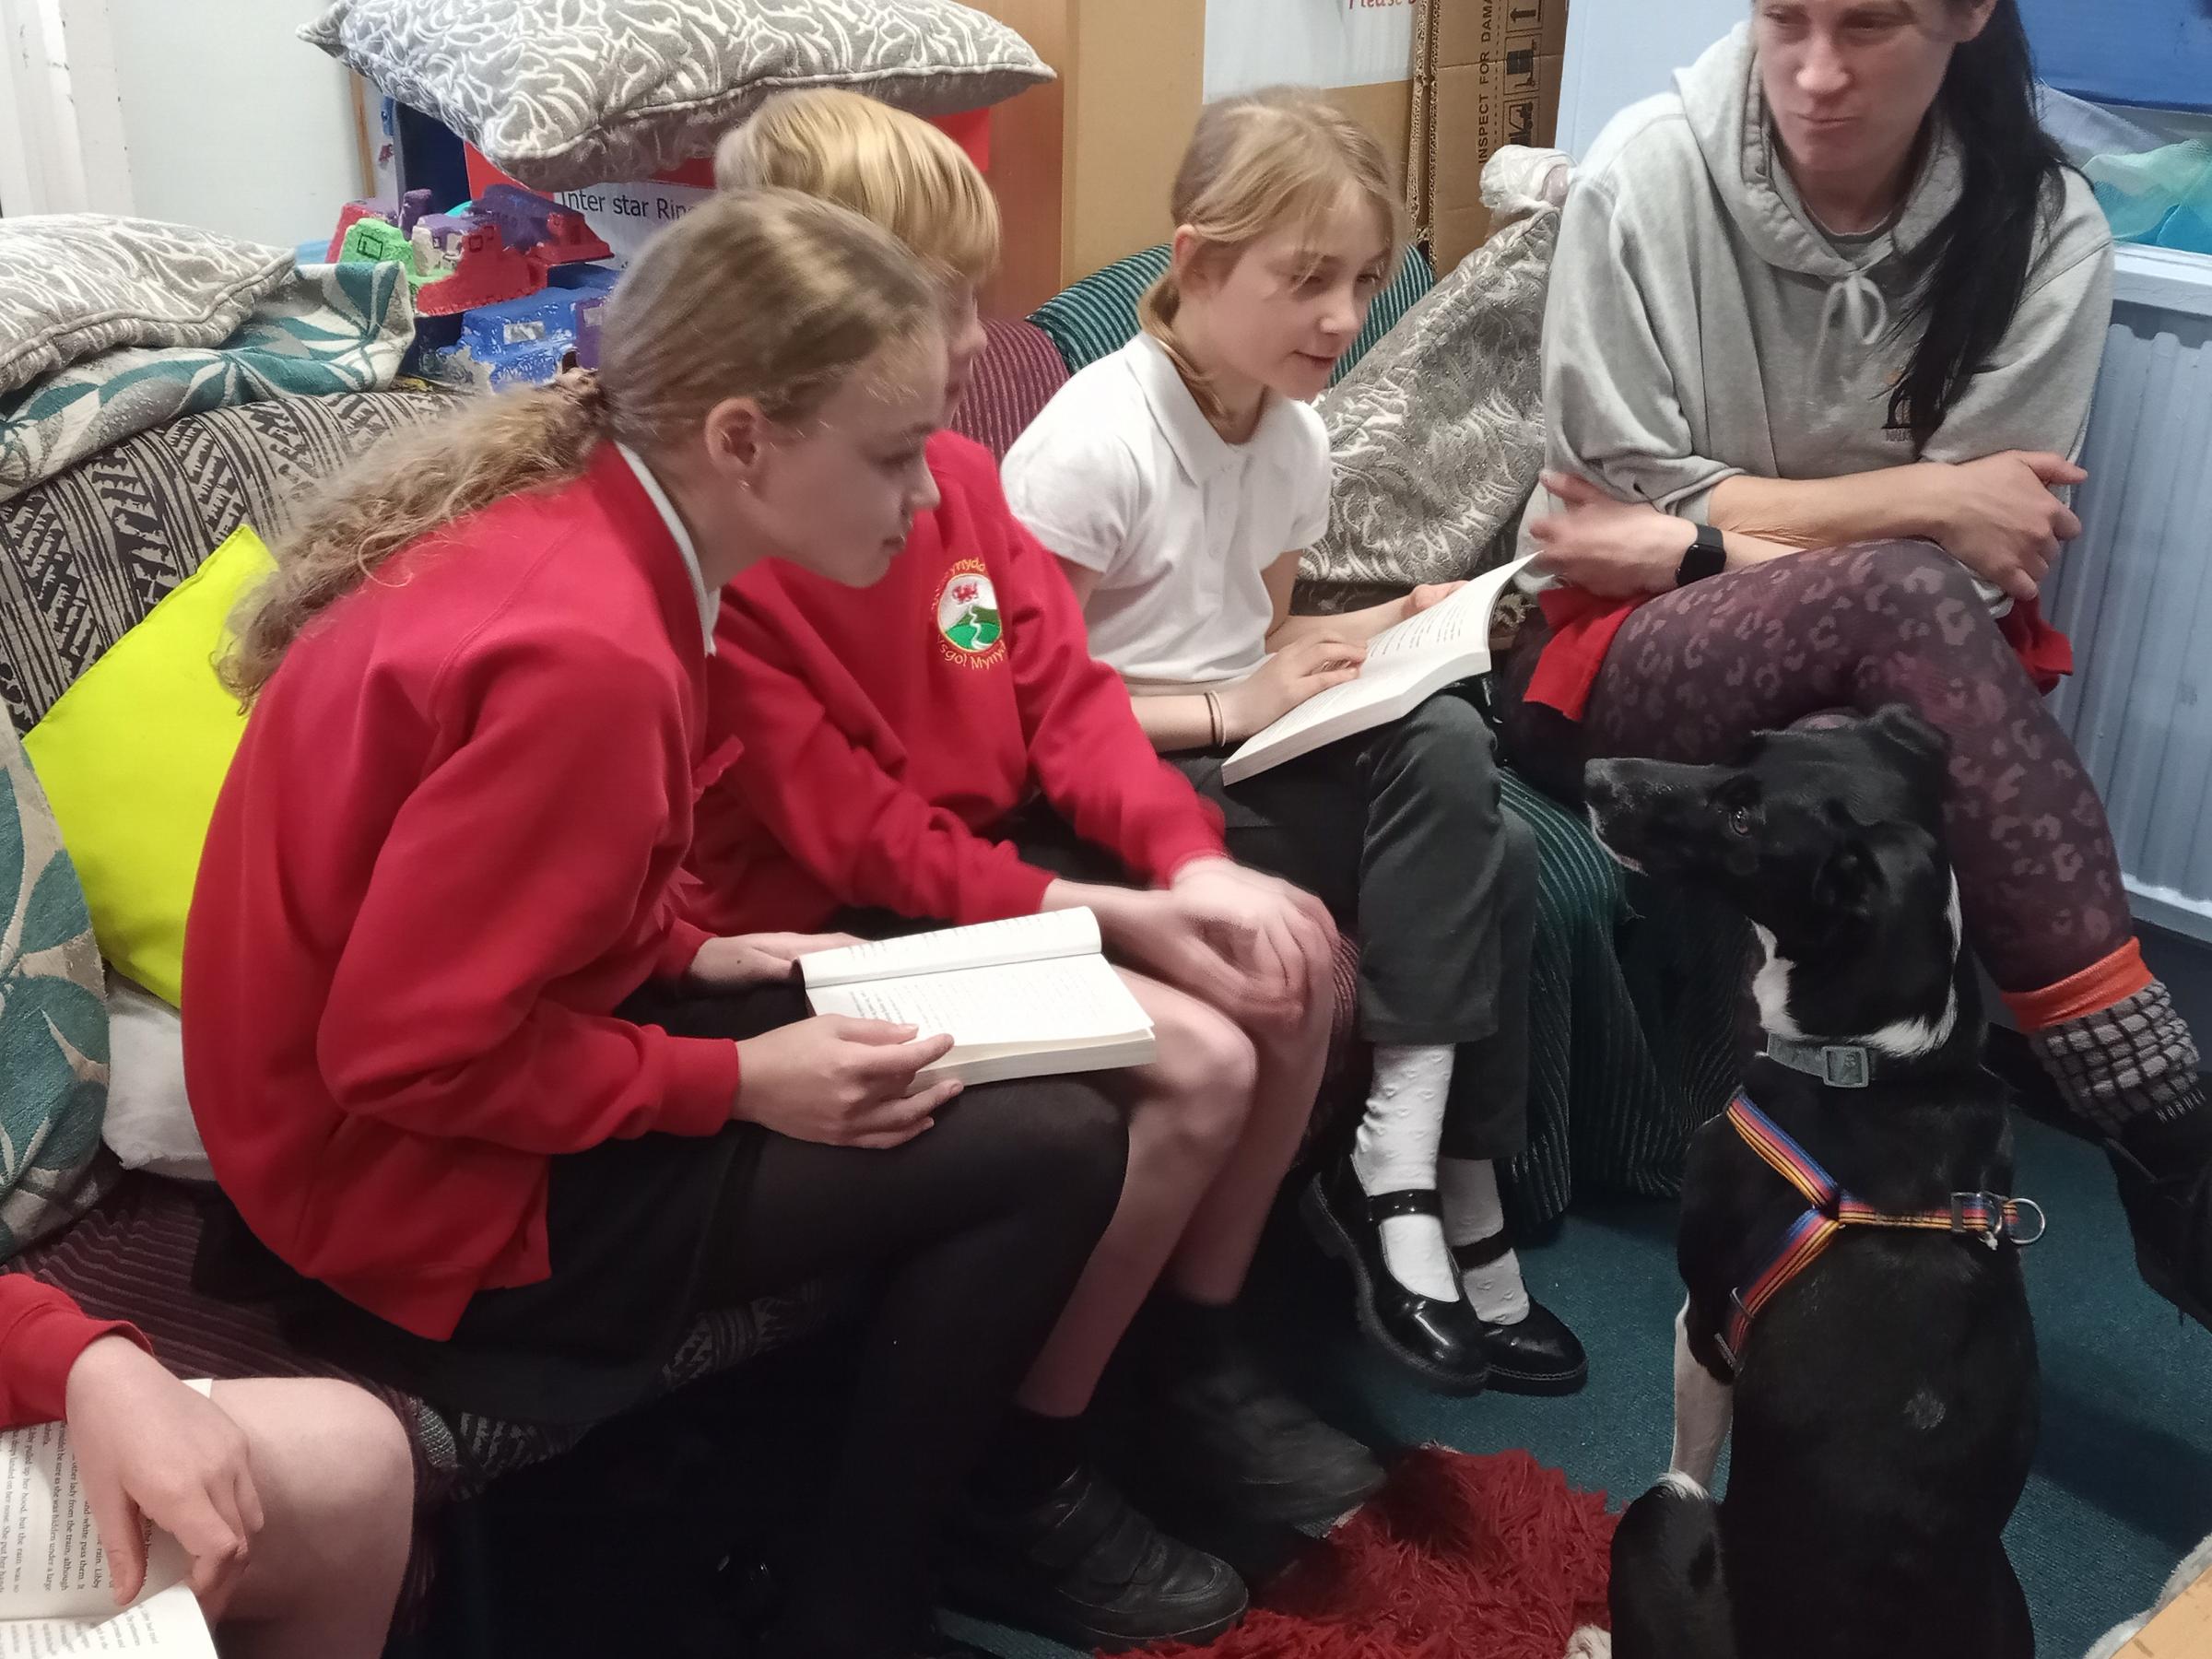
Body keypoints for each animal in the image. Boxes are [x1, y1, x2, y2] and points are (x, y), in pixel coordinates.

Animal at [1593, 712, 2035, 1659]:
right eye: (1749, 744)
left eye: (1742, 820)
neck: (1876, 1060)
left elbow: (1690, 1444)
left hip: (1659, 1519)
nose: (1596, 774)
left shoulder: (1705, 1321)